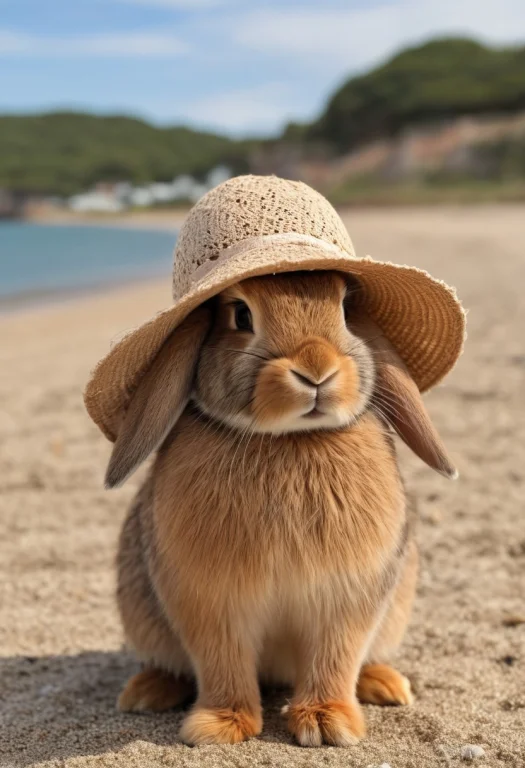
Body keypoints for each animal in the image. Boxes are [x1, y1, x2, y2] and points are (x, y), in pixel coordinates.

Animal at [108, 269, 456, 747]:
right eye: (240, 314)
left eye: (345, 308)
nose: (316, 370)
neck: (290, 438)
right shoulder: (211, 602)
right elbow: (222, 662)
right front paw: (219, 727)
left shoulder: (345, 598)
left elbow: (335, 657)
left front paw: (328, 723)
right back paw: (145, 692)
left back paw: (385, 685)